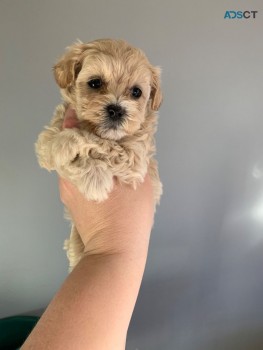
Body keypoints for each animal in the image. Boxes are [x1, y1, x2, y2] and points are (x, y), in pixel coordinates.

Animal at [35, 40, 163, 270]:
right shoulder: (44, 141)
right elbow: (52, 147)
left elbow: (99, 142)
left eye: (136, 92)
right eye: (95, 83)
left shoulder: (135, 157)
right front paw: (90, 173)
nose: (116, 110)